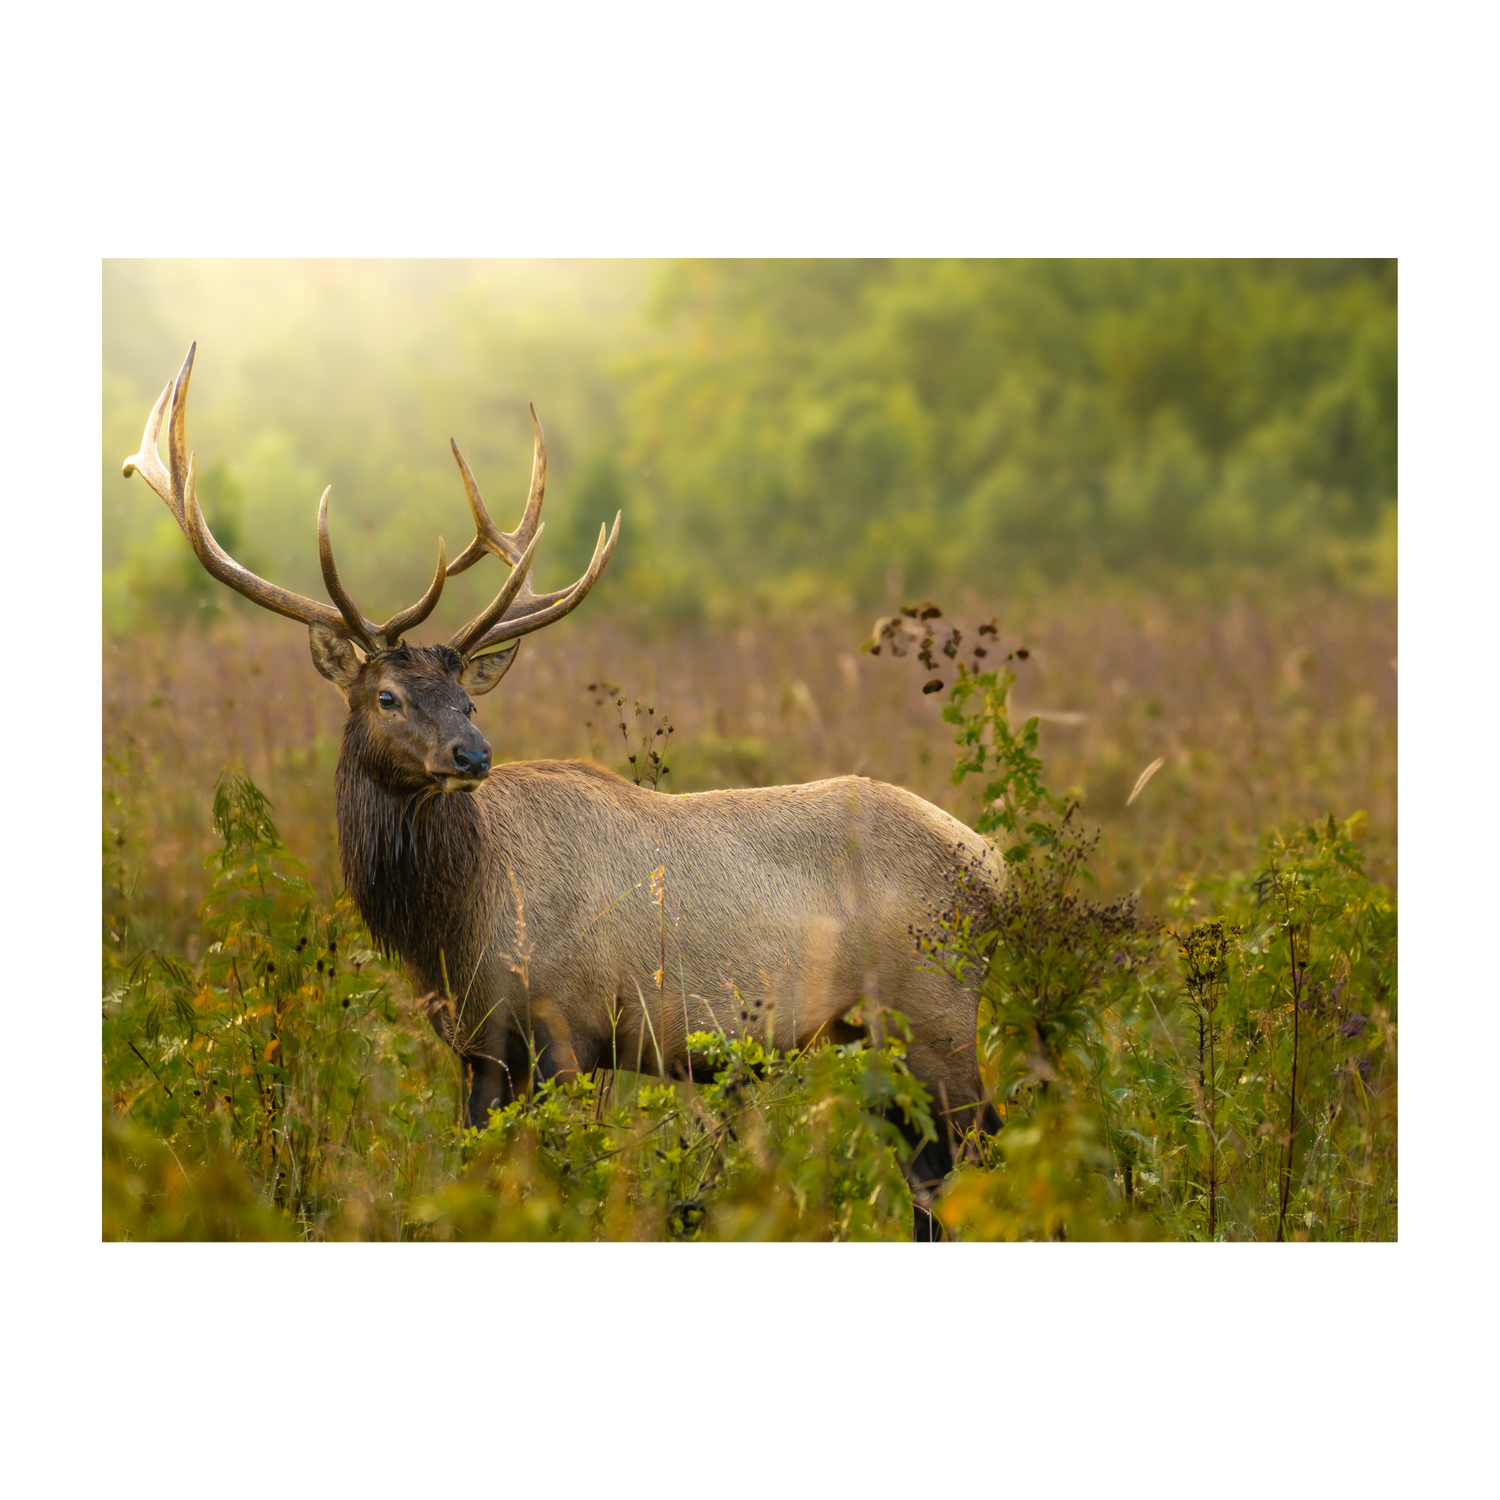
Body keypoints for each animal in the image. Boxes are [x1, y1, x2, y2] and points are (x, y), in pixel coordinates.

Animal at [122, 344, 1004, 1238]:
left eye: (469, 700)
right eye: (388, 697)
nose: (472, 754)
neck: (455, 925)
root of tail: (994, 864)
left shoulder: (566, 1026)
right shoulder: (476, 1046)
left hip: (933, 1008)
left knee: (981, 1146)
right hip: (872, 1034)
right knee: (930, 1172)